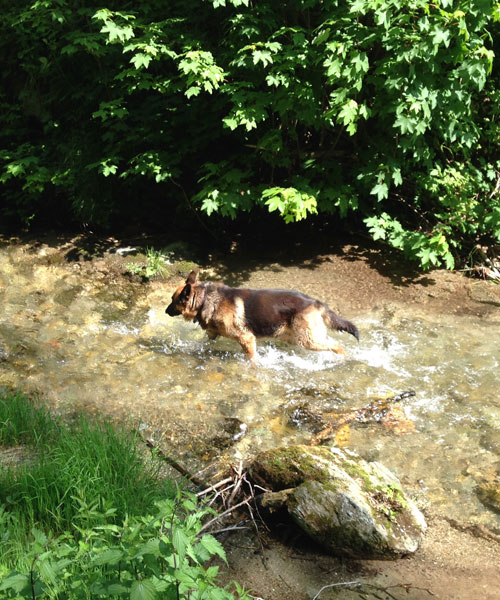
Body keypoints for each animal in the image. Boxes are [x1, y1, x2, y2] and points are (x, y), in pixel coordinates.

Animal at [167, 270, 360, 360]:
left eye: (173, 300)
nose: (165, 311)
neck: (204, 298)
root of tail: (315, 302)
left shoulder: (246, 338)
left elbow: (252, 358)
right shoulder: (212, 334)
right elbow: (203, 343)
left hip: (309, 340)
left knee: (337, 346)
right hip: (295, 338)